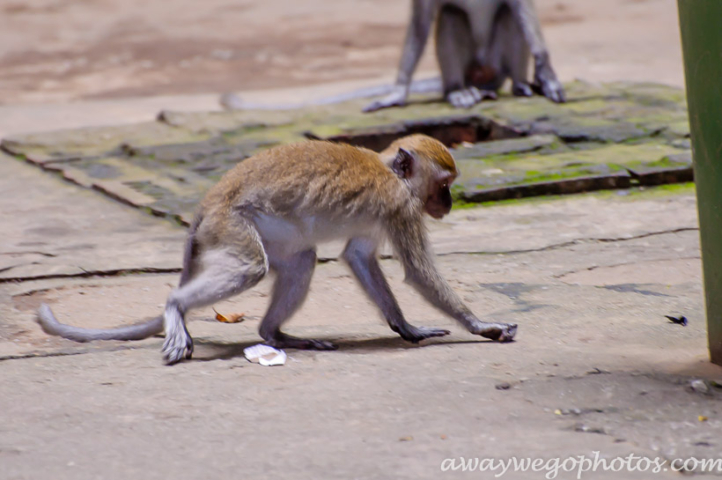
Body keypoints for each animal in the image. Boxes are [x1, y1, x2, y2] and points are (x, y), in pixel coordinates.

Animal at [39, 135, 516, 364]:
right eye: (443, 185)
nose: (449, 203)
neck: (390, 171)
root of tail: (206, 204)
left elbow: (359, 258)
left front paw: (407, 328)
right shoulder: (402, 207)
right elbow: (417, 271)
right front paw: (481, 325)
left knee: (301, 259)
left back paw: (277, 334)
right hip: (233, 226)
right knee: (250, 267)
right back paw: (176, 308)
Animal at [366, 0, 564, 111]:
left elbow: (520, 3)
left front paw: (546, 72)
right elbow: (420, 22)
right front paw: (398, 92)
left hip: (495, 61)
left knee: (508, 11)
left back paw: (519, 85)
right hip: (470, 67)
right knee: (451, 13)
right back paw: (456, 91)